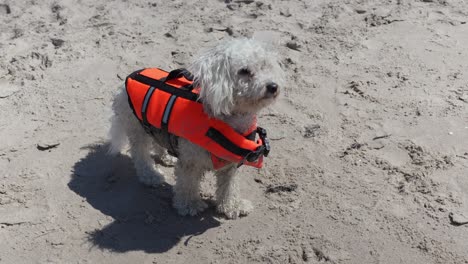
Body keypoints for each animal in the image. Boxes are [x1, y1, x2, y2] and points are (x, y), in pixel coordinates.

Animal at [108, 37, 284, 219]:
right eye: (244, 71)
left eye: (265, 66)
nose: (273, 86)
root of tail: (125, 83)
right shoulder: (190, 162)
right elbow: (188, 184)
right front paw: (189, 205)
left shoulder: (229, 165)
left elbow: (229, 187)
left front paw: (232, 206)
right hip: (137, 128)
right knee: (140, 154)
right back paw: (150, 175)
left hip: (156, 125)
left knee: (158, 141)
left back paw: (166, 157)